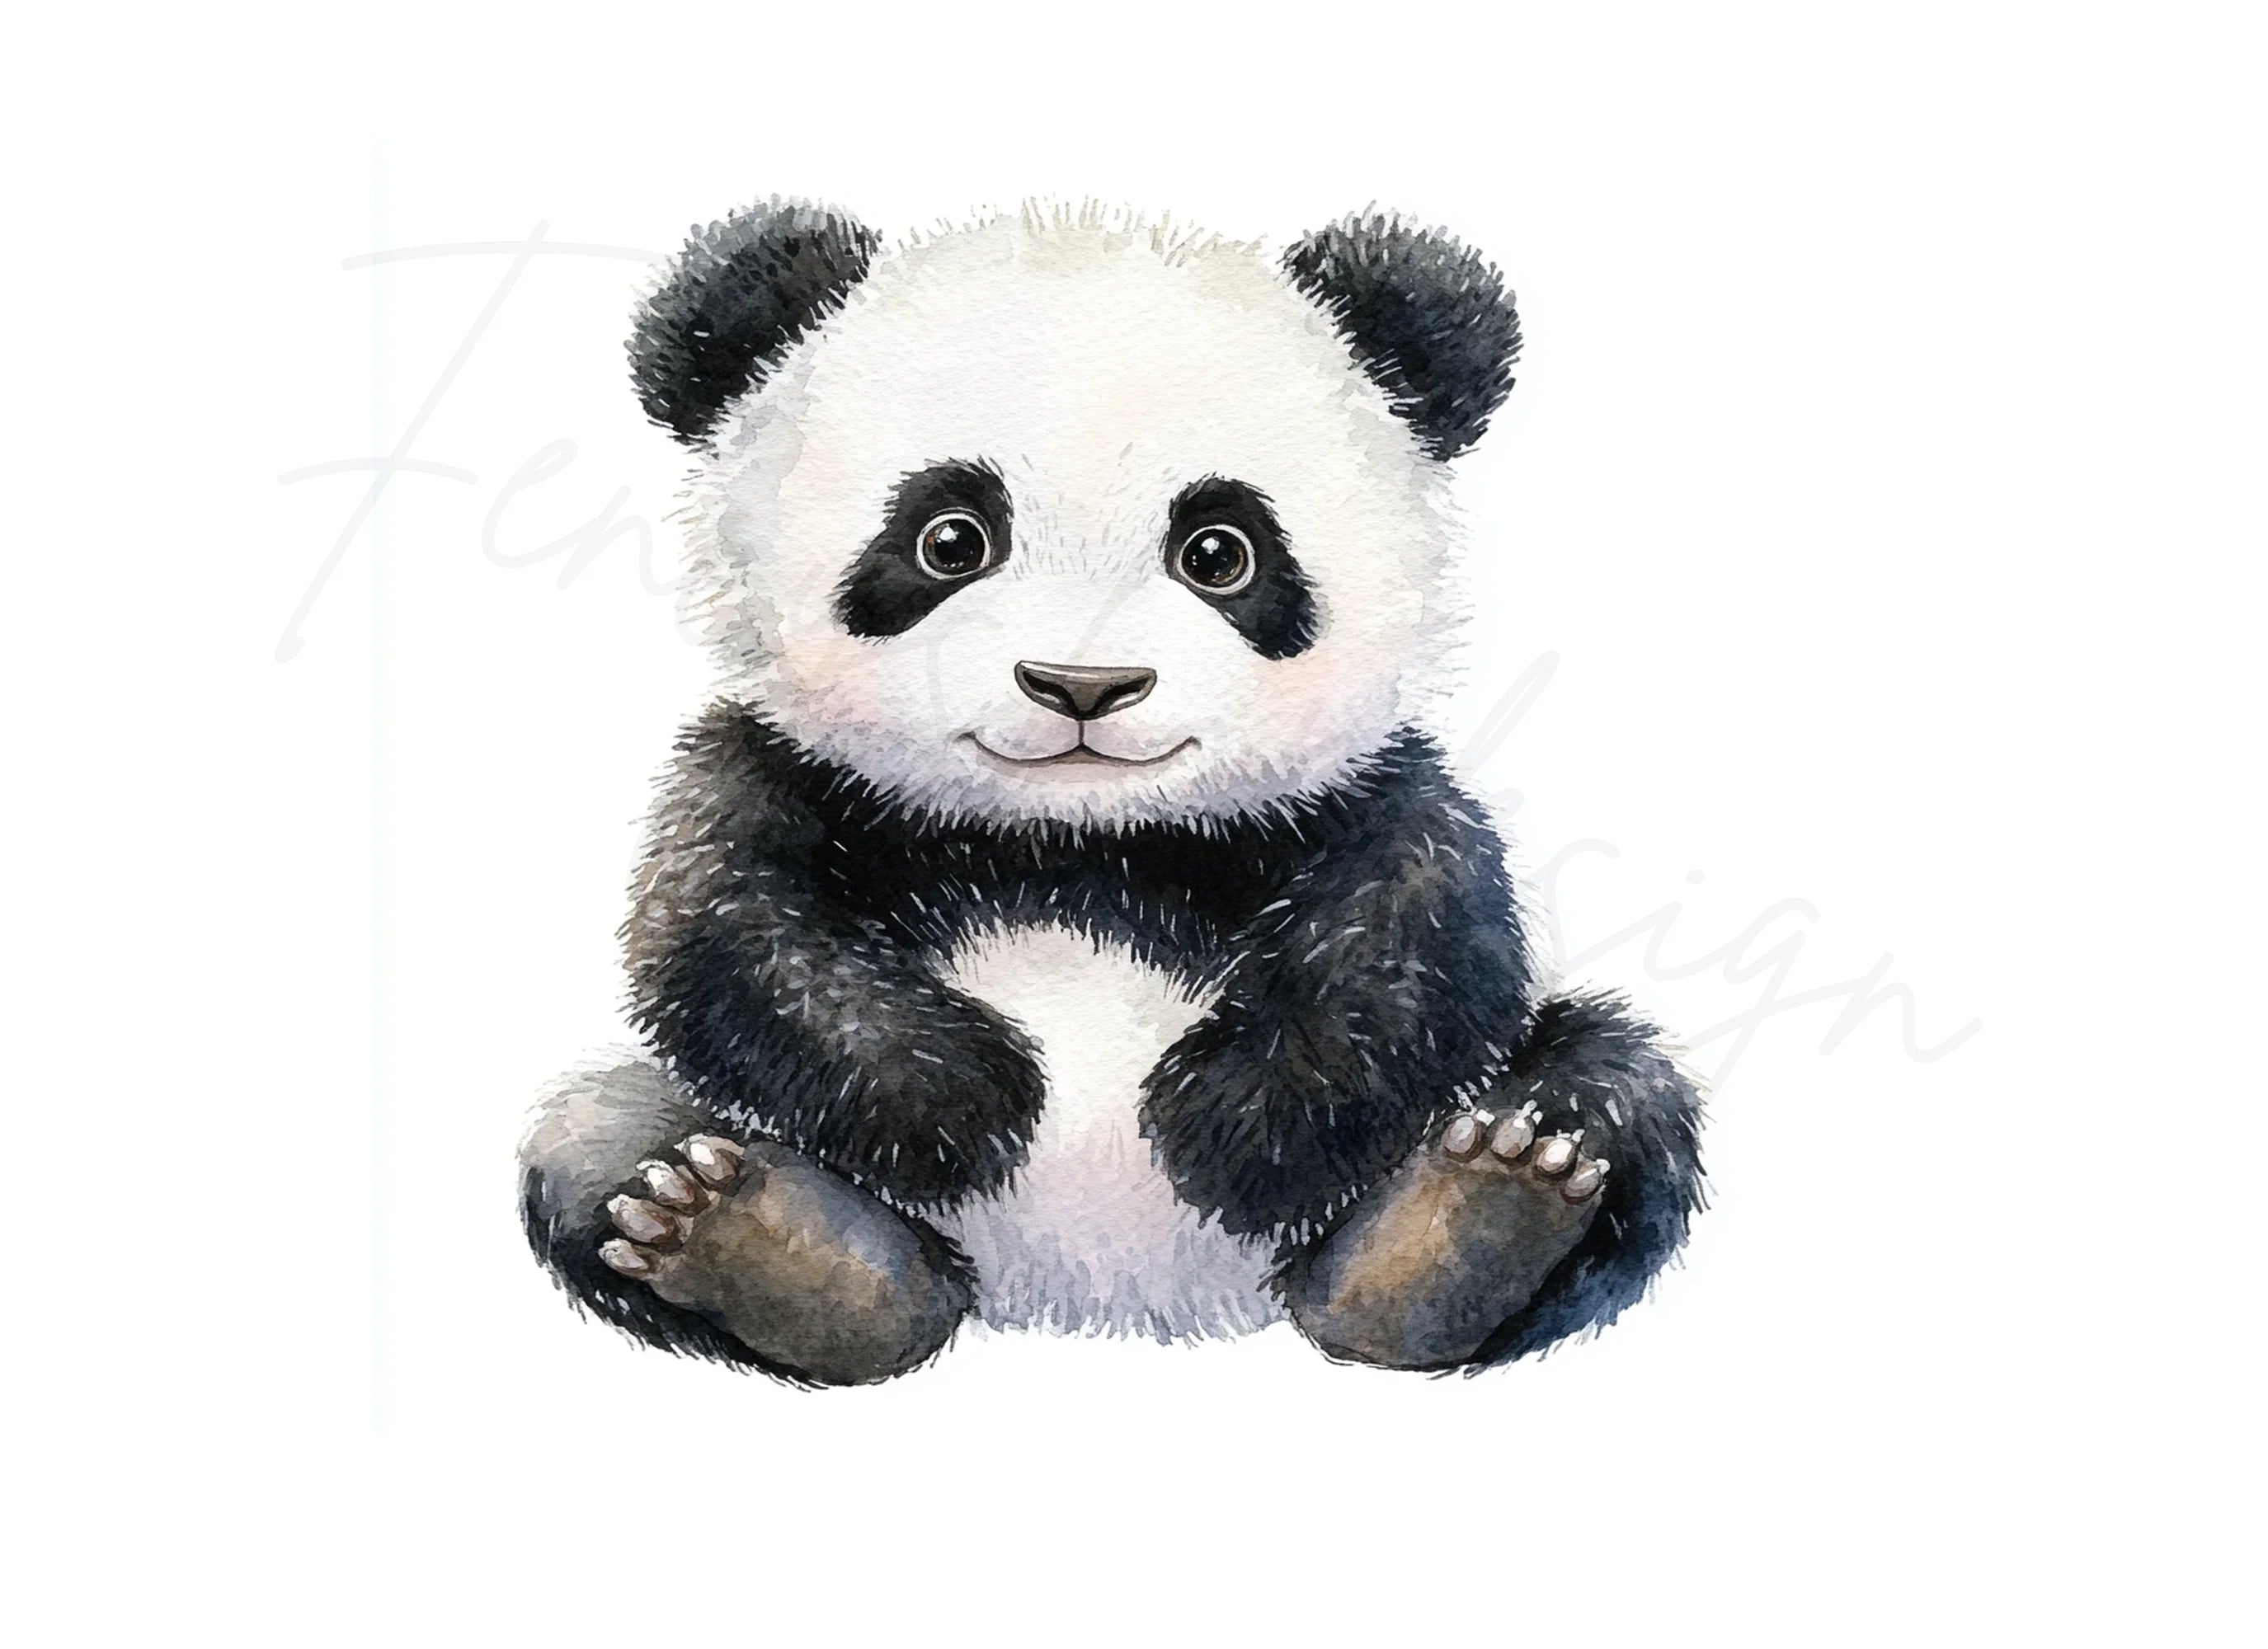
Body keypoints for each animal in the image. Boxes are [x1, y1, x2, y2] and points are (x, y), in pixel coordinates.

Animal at [518, 199, 1706, 1386]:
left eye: (1219, 550)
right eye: (949, 538)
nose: (1081, 684)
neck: (1073, 838)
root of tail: (1106, 1299)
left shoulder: (1354, 793)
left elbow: (1422, 931)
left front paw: (1221, 1124)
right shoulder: (786, 771)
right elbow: (723, 925)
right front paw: (971, 1094)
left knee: (1612, 1090)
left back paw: (1466, 1219)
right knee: (597, 1138)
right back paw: (764, 1243)